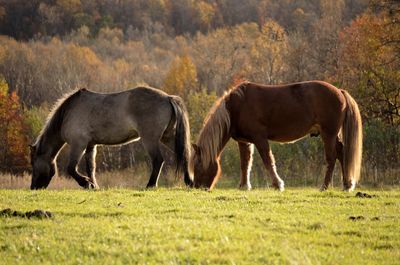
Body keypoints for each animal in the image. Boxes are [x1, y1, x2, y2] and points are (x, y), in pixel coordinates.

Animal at [30, 87, 193, 189]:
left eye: (33, 164)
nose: (33, 187)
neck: (68, 113)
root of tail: (168, 97)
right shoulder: (90, 146)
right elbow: (91, 168)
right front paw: (94, 186)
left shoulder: (78, 145)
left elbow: (71, 168)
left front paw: (86, 183)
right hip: (167, 138)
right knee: (185, 154)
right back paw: (189, 182)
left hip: (150, 139)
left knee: (158, 160)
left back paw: (151, 185)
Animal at [192, 80, 364, 190]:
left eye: (198, 166)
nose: (197, 187)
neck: (237, 107)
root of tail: (340, 92)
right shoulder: (244, 141)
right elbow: (245, 164)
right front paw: (244, 186)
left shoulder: (260, 138)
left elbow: (268, 160)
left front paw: (277, 184)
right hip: (333, 135)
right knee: (341, 153)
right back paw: (347, 185)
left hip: (328, 134)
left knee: (331, 158)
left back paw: (324, 186)